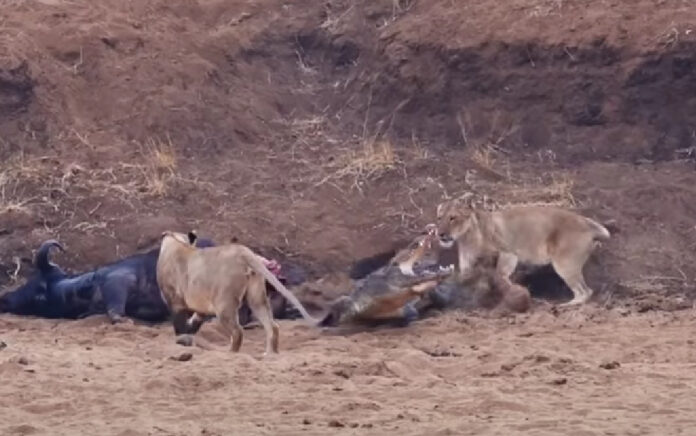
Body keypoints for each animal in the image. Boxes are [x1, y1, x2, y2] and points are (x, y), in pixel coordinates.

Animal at [156, 232, 316, 354]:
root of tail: (244, 252)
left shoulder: (175, 301)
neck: (175, 243)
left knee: (238, 332)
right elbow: (192, 325)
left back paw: (231, 353)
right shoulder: (199, 307)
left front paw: (180, 342)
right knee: (273, 326)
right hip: (257, 299)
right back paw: (270, 354)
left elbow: (179, 326)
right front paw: (188, 338)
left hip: (224, 305)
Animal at [436, 195, 608, 306]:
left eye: (452, 218)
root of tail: (586, 222)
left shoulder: (509, 252)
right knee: (585, 291)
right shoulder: (467, 265)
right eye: (439, 218)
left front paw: (510, 292)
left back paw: (565, 306)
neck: (467, 238)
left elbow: (500, 274)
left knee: (585, 292)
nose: (440, 234)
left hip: (565, 264)